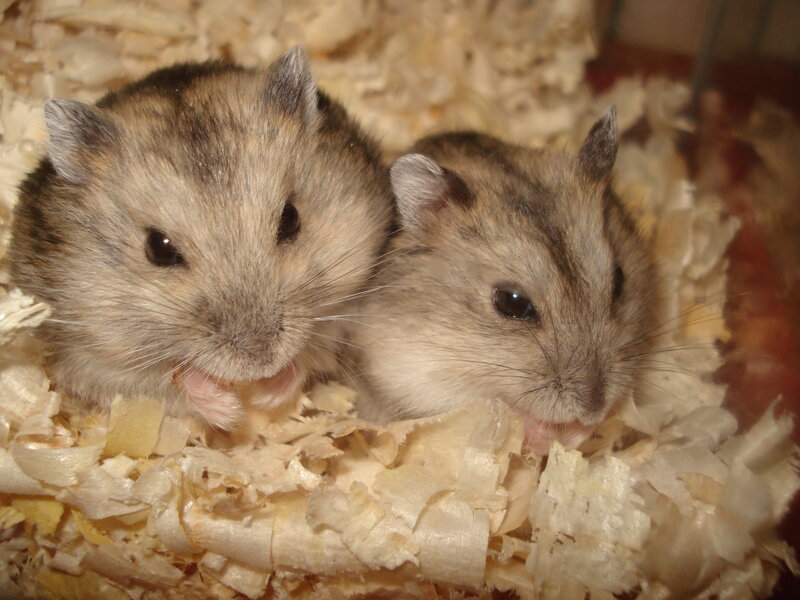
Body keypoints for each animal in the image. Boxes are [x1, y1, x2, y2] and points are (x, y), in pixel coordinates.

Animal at [8, 47, 393, 430]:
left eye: (291, 219)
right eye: (158, 249)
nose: (261, 363)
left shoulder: (343, 314)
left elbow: (310, 354)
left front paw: (268, 395)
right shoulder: (90, 356)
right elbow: (167, 380)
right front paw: (230, 411)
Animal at [349, 107, 656, 454]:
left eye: (619, 280)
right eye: (512, 303)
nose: (593, 411)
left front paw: (583, 431)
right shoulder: (412, 374)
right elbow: (496, 409)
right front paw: (552, 434)